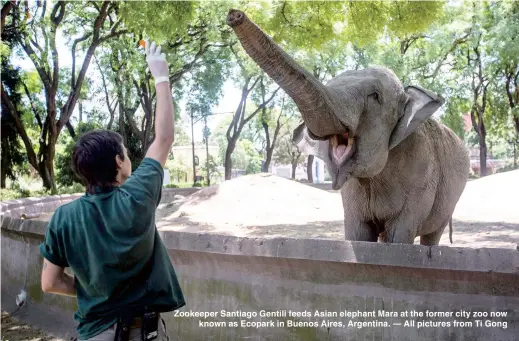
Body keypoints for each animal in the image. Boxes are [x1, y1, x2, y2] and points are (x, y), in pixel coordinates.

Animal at [228, 9, 472, 243]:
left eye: (374, 96)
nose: (234, 15)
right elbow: (358, 235)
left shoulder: (420, 178)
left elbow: (400, 236)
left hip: (450, 198)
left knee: (432, 236)